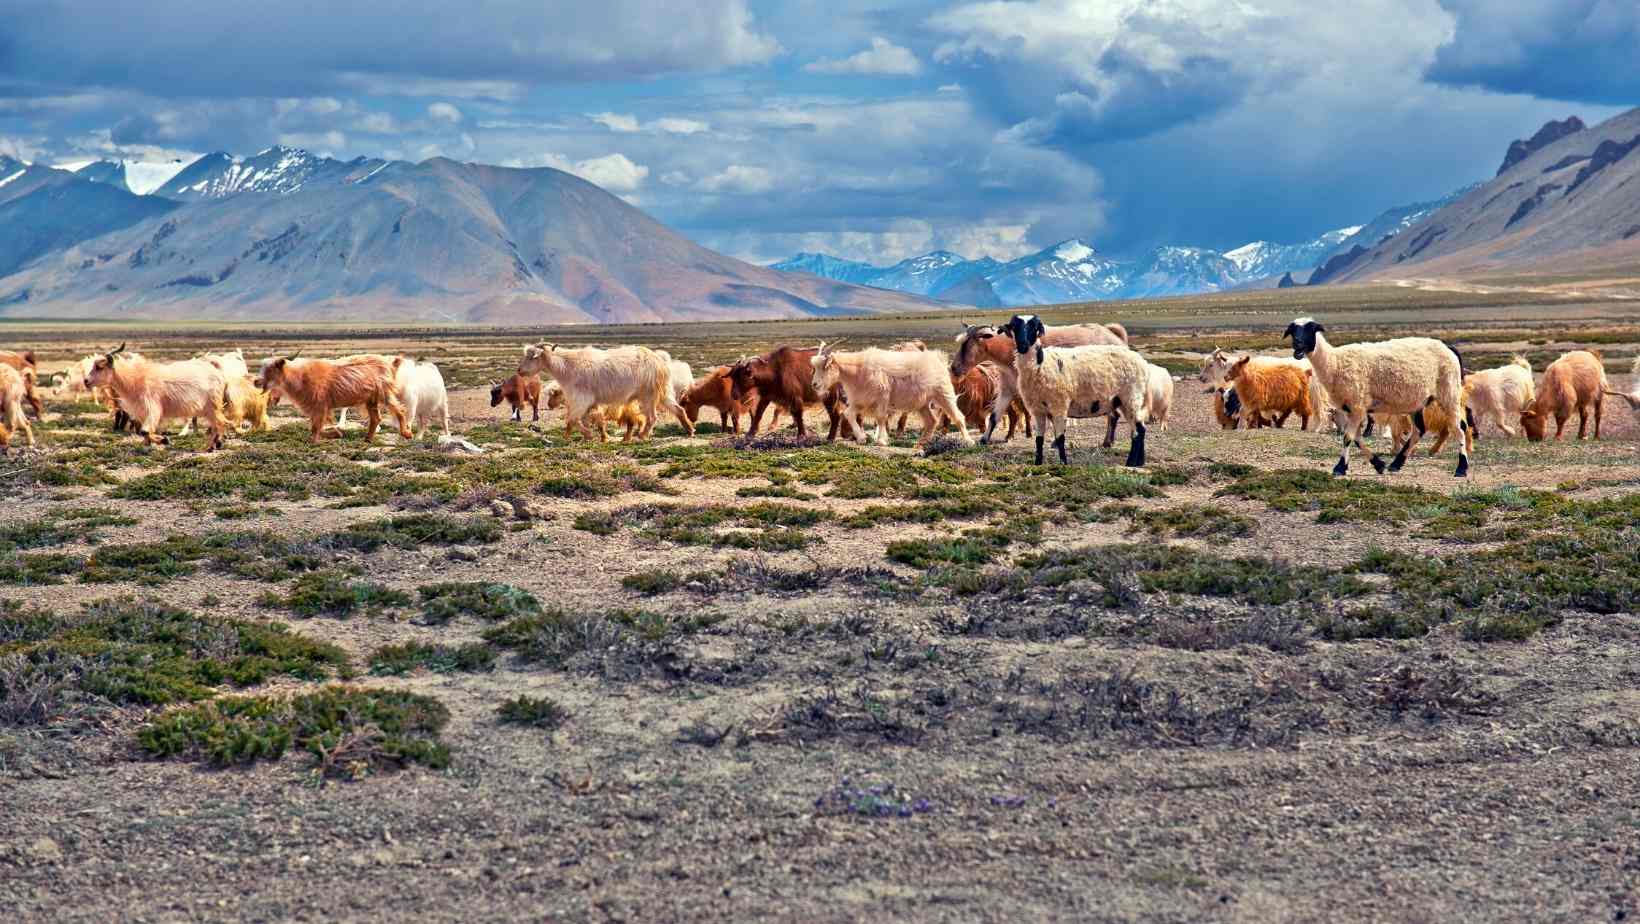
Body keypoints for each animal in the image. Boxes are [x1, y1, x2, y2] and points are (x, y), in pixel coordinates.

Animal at [85, 344, 231, 449]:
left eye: (99, 367)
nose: (86, 381)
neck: (136, 379)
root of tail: (217, 371)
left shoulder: (153, 407)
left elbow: (144, 431)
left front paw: (165, 440)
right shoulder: (143, 412)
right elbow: (144, 432)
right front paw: (151, 443)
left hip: (212, 405)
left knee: (220, 422)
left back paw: (212, 446)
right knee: (218, 423)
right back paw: (216, 444)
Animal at [257, 352, 413, 443]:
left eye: (270, 369)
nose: (256, 382)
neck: (300, 377)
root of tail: (391, 363)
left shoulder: (320, 405)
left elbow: (316, 428)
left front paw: (320, 439)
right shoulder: (318, 408)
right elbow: (316, 427)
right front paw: (336, 433)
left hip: (384, 393)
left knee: (399, 410)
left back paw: (406, 434)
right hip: (371, 399)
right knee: (376, 418)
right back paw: (368, 439)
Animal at [810, 343, 970, 452]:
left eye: (826, 366)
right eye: (814, 367)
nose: (814, 384)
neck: (857, 370)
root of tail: (938, 358)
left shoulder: (882, 397)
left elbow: (881, 418)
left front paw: (881, 441)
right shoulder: (861, 400)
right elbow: (848, 414)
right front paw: (862, 438)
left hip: (944, 393)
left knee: (958, 417)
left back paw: (968, 442)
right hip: (922, 403)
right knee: (932, 421)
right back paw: (920, 444)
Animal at [951, 320, 1128, 446]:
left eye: (970, 342)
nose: (954, 368)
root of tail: (1116, 337)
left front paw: (1055, 441)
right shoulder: (1007, 388)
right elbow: (995, 416)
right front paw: (983, 439)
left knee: (1114, 414)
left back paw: (1108, 441)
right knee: (1114, 414)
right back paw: (1108, 442)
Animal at [997, 316, 1154, 469]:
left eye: (1034, 327)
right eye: (1015, 327)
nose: (1023, 345)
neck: (1041, 364)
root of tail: (1141, 361)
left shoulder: (1059, 405)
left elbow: (1060, 438)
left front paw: (1063, 464)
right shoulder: (1038, 410)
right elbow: (1039, 439)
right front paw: (1038, 463)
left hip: (1131, 397)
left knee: (1138, 430)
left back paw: (1131, 462)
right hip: (1124, 400)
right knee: (1140, 429)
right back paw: (1139, 462)